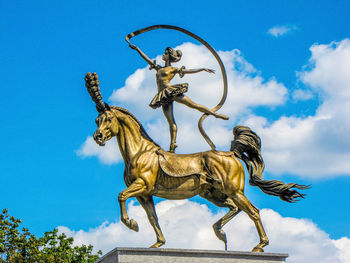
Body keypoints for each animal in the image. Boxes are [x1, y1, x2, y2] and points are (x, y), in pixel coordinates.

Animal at [85, 72, 308, 254]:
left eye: (108, 118)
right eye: (97, 120)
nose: (98, 137)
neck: (139, 152)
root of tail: (232, 153)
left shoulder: (142, 185)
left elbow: (121, 196)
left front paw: (132, 224)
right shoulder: (145, 195)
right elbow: (153, 217)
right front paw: (157, 243)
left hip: (234, 190)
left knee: (252, 211)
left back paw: (259, 245)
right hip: (213, 194)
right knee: (234, 208)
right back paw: (219, 231)